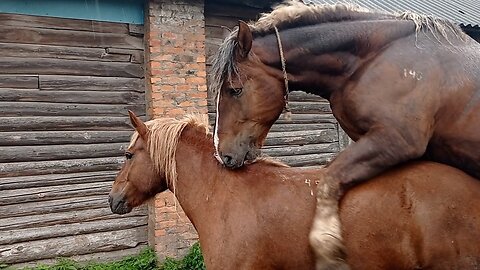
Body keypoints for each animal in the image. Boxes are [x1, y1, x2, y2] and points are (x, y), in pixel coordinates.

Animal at [211, 1, 480, 268]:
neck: (372, 59)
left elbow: (328, 180)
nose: (223, 154)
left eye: (235, 90)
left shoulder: (396, 140)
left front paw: (327, 247)